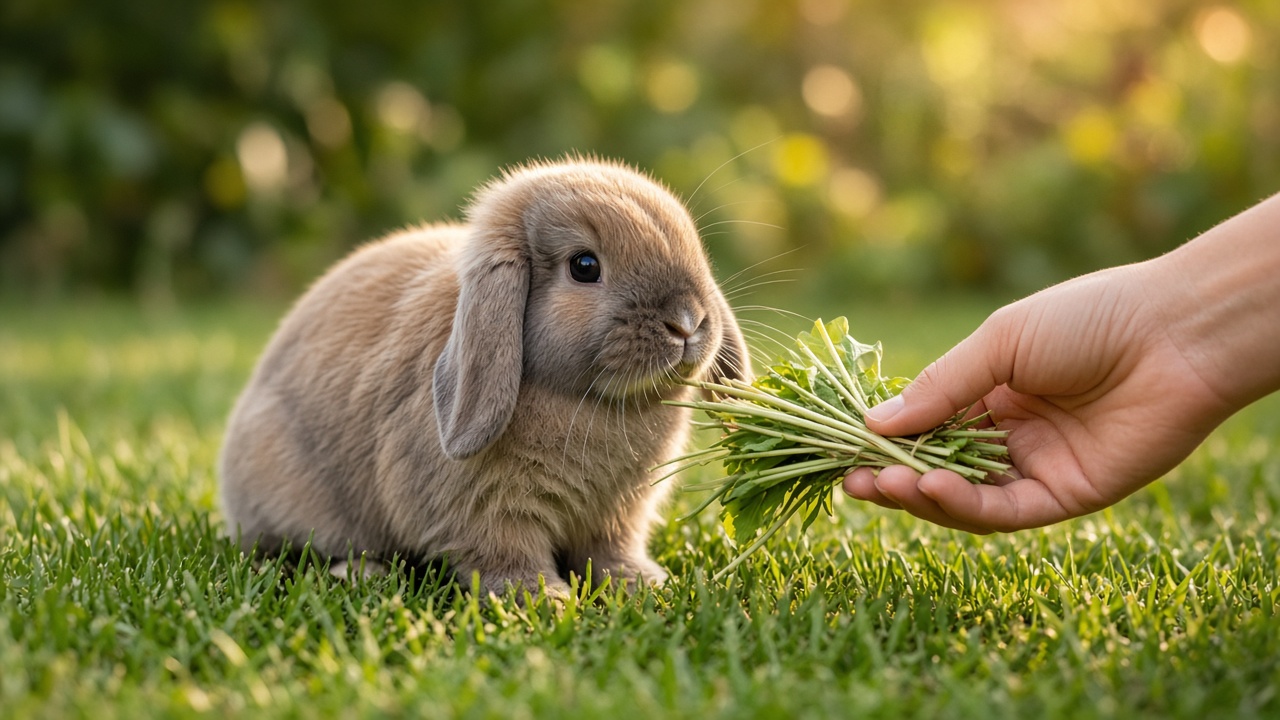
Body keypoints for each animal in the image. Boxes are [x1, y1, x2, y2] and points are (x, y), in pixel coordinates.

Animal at [218, 157, 750, 598]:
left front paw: (645, 585)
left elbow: (611, 554)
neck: (594, 403)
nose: (687, 321)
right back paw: (363, 572)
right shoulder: (488, 512)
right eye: (584, 266)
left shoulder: (619, 515)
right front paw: (544, 601)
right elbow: (508, 556)